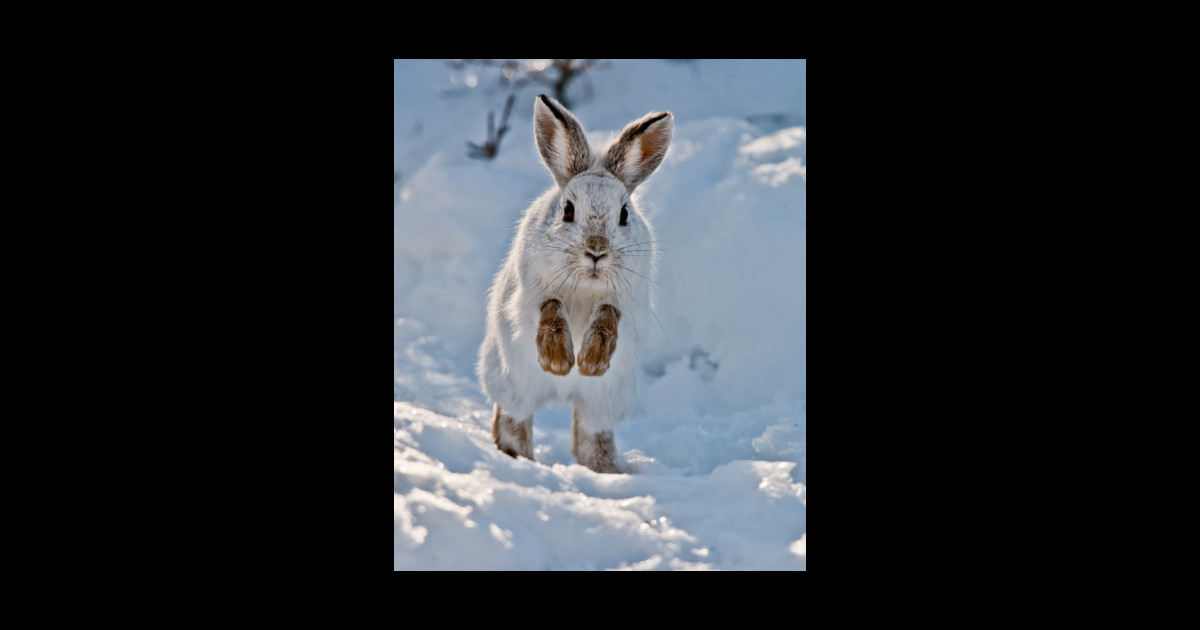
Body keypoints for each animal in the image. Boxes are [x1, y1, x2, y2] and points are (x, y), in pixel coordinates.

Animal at [477, 94, 673, 474]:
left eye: (624, 214)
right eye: (567, 210)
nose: (596, 251)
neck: (585, 283)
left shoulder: (626, 304)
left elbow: (608, 316)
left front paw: (590, 363)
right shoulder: (532, 295)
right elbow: (551, 309)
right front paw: (559, 363)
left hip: (604, 401)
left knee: (591, 435)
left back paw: (605, 471)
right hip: (510, 380)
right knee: (513, 419)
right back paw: (517, 458)